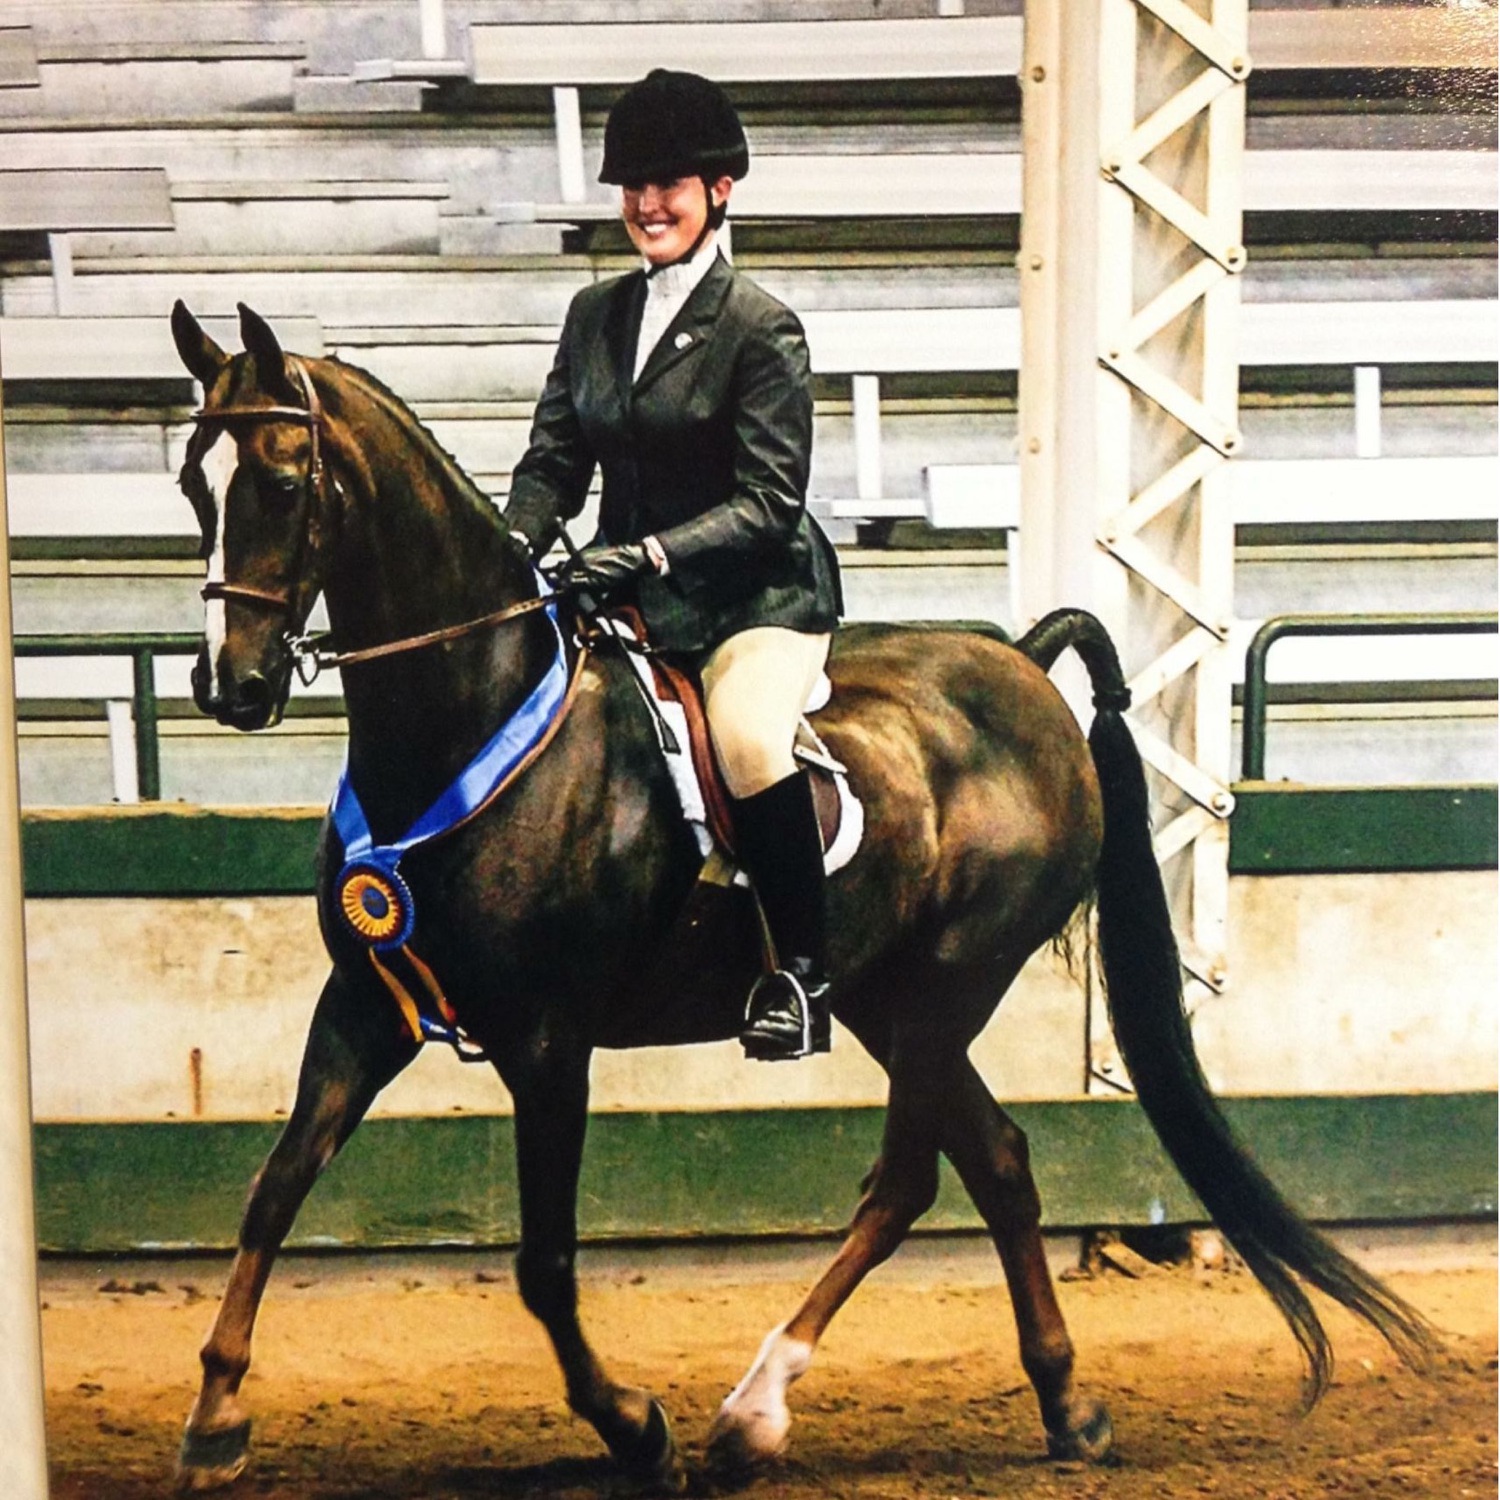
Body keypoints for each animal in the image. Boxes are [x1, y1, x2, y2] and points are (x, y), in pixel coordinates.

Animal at [170, 301, 1434, 1488]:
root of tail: (1025, 667)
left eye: (283, 481)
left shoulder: (548, 1040)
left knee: (912, 1178)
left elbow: (544, 1262)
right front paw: (215, 1415)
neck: (472, 721)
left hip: (945, 988)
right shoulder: (365, 1007)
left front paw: (635, 1429)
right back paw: (1064, 1406)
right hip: (881, 995)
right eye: (193, 481)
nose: (230, 685)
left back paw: (753, 1412)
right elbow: (273, 1190)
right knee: (996, 1161)